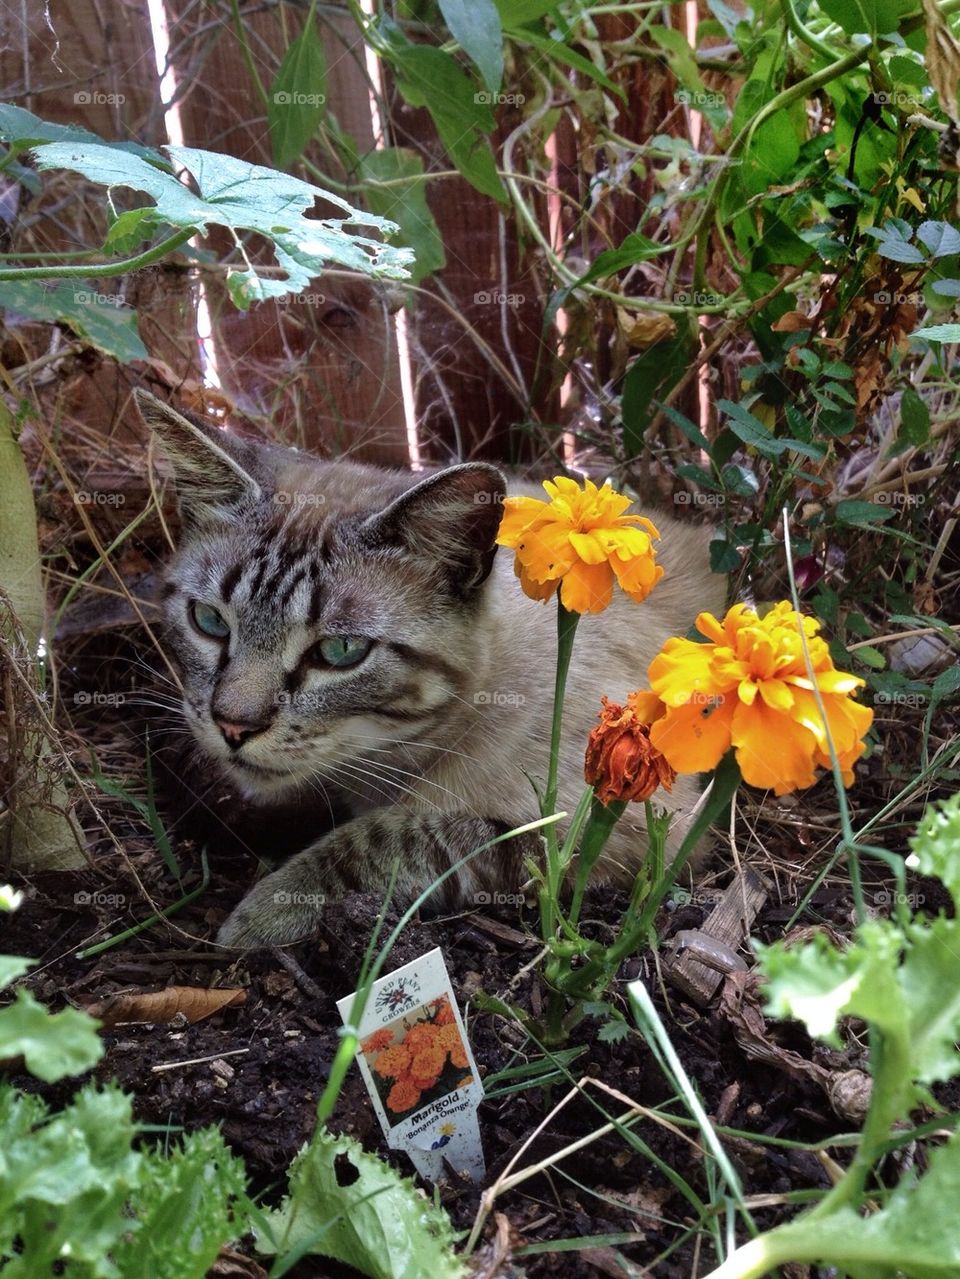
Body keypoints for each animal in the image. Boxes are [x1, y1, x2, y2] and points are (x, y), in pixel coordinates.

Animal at [133, 391, 720, 951]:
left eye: (340, 651)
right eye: (209, 621)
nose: (232, 727)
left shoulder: (607, 825)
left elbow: (382, 840)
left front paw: (267, 908)